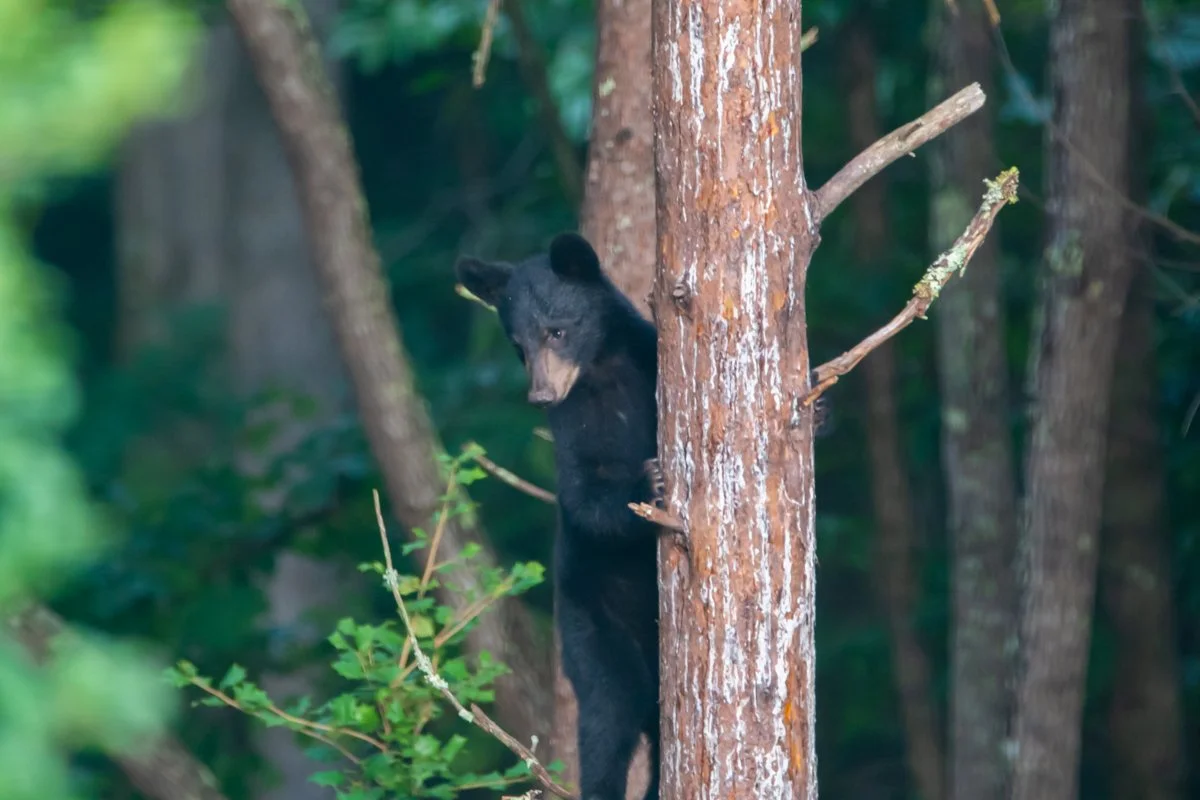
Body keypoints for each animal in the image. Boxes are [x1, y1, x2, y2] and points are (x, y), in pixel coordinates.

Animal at [457, 232, 663, 800]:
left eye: (557, 331)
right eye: (517, 346)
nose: (541, 394)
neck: (605, 375)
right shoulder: (573, 427)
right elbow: (585, 498)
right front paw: (649, 485)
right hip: (593, 627)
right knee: (609, 715)